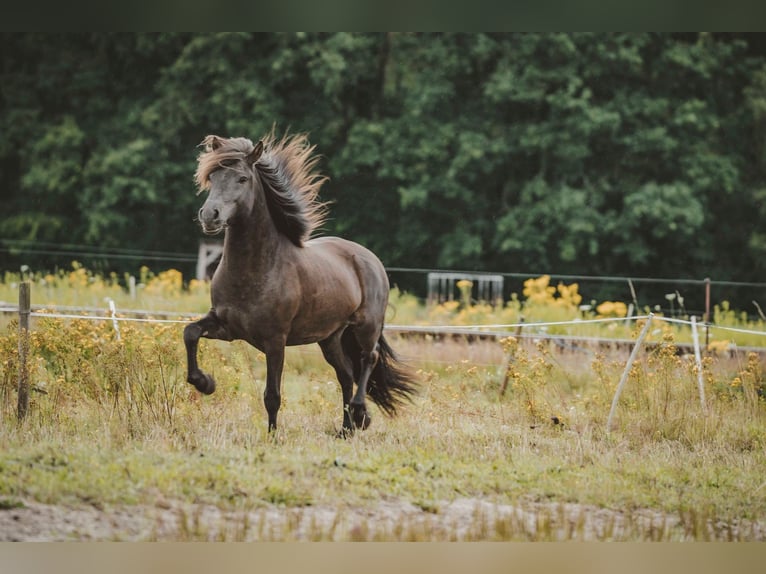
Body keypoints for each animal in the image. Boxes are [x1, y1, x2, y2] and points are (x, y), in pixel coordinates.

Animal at [184, 133, 416, 434]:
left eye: (242, 179)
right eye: (212, 176)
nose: (210, 215)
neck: (255, 271)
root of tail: (369, 258)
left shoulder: (275, 340)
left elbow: (272, 395)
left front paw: (272, 437)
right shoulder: (227, 327)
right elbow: (190, 332)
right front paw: (205, 383)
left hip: (367, 326)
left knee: (369, 359)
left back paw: (360, 414)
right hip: (331, 338)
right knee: (345, 374)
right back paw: (345, 429)